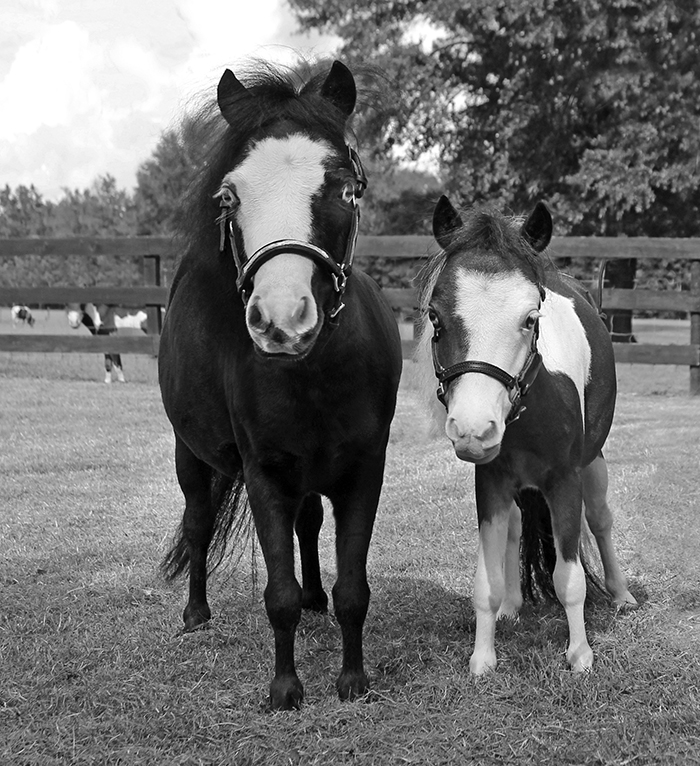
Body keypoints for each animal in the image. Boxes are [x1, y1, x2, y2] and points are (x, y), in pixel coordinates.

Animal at [157, 60, 402, 712]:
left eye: (346, 189)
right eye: (229, 196)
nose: (281, 320)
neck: (313, 375)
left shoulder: (363, 470)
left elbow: (352, 587)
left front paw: (352, 680)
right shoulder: (264, 472)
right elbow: (278, 594)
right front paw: (285, 688)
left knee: (308, 522)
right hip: (190, 455)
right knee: (198, 523)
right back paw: (195, 614)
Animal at [416, 198, 640, 680]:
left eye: (530, 318)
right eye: (435, 317)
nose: (473, 430)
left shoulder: (565, 481)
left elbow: (569, 578)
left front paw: (580, 655)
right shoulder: (491, 481)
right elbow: (486, 581)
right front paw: (483, 657)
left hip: (594, 463)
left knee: (601, 519)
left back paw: (621, 594)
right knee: (518, 526)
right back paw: (513, 607)